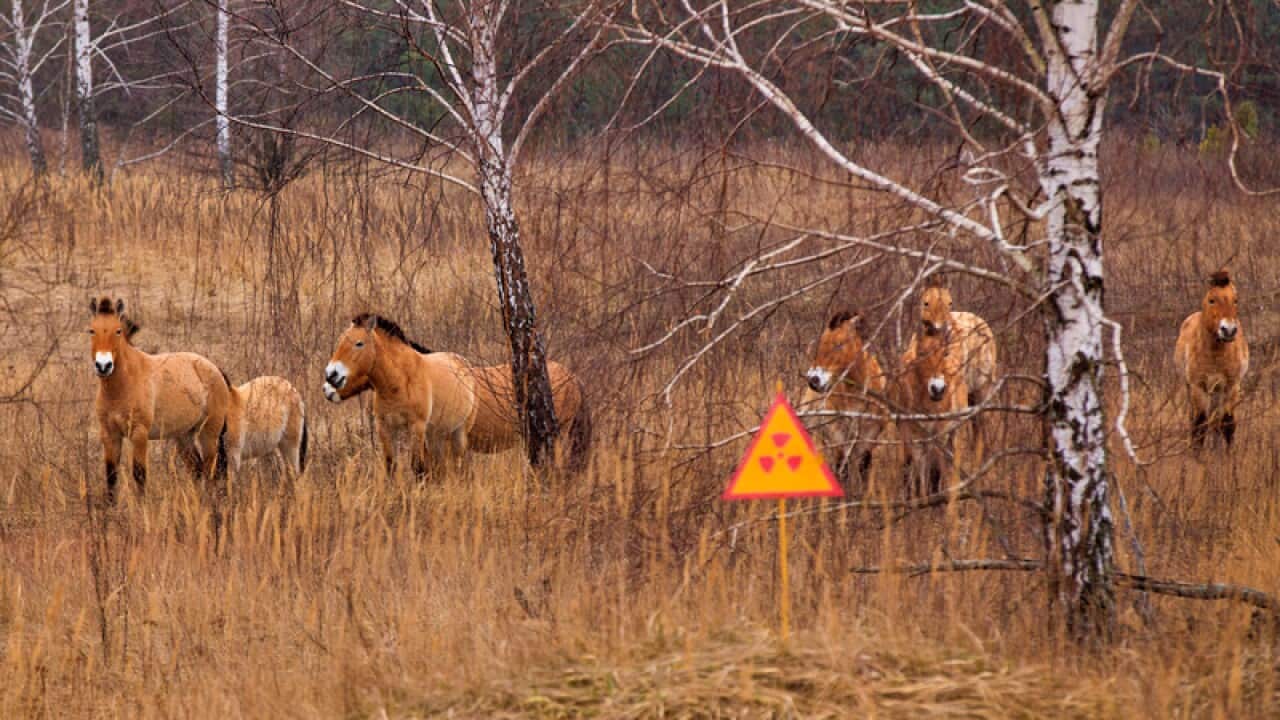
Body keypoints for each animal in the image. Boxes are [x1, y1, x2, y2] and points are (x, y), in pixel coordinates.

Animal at [89, 297, 230, 504]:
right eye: (91, 330)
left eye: (118, 330)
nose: (103, 365)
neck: (122, 386)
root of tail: (215, 368)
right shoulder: (109, 434)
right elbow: (111, 477)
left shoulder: (139, 434)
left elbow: (139, 475)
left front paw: (142, 508)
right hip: (184, 436)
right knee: (197, 469)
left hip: (209, 434)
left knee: (211, 470)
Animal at [322, 313, 591, 476]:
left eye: (358, 344)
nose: (330, 378)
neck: (403, 379)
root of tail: (573, 377)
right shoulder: (388, 428)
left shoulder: (420, 430)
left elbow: (420, 469)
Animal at [803, 310, 888, 487]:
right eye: (820, 343)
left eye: (839, 344)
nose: (813, 380)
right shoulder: (838, 433)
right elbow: (842, 467)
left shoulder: (869, 436)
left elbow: (864, 467)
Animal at [895, 327, 968, 496]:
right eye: (921, 353)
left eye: (945, 352)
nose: (938, 389)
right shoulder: (911, 434)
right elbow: (914, 473)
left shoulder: (940, 434)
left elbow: (935, 473)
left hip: (955, 434)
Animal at [1175, 270, 1249, 448]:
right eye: (1212, 300)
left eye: (1235, 300)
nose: (1228, 330)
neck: (1216, 355)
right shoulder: (1198, 387)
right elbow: (1199, 426)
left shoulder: (1231, 386)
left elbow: (1227, 425)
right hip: (1191, 388)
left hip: (1217, 391)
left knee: (1216, 422)